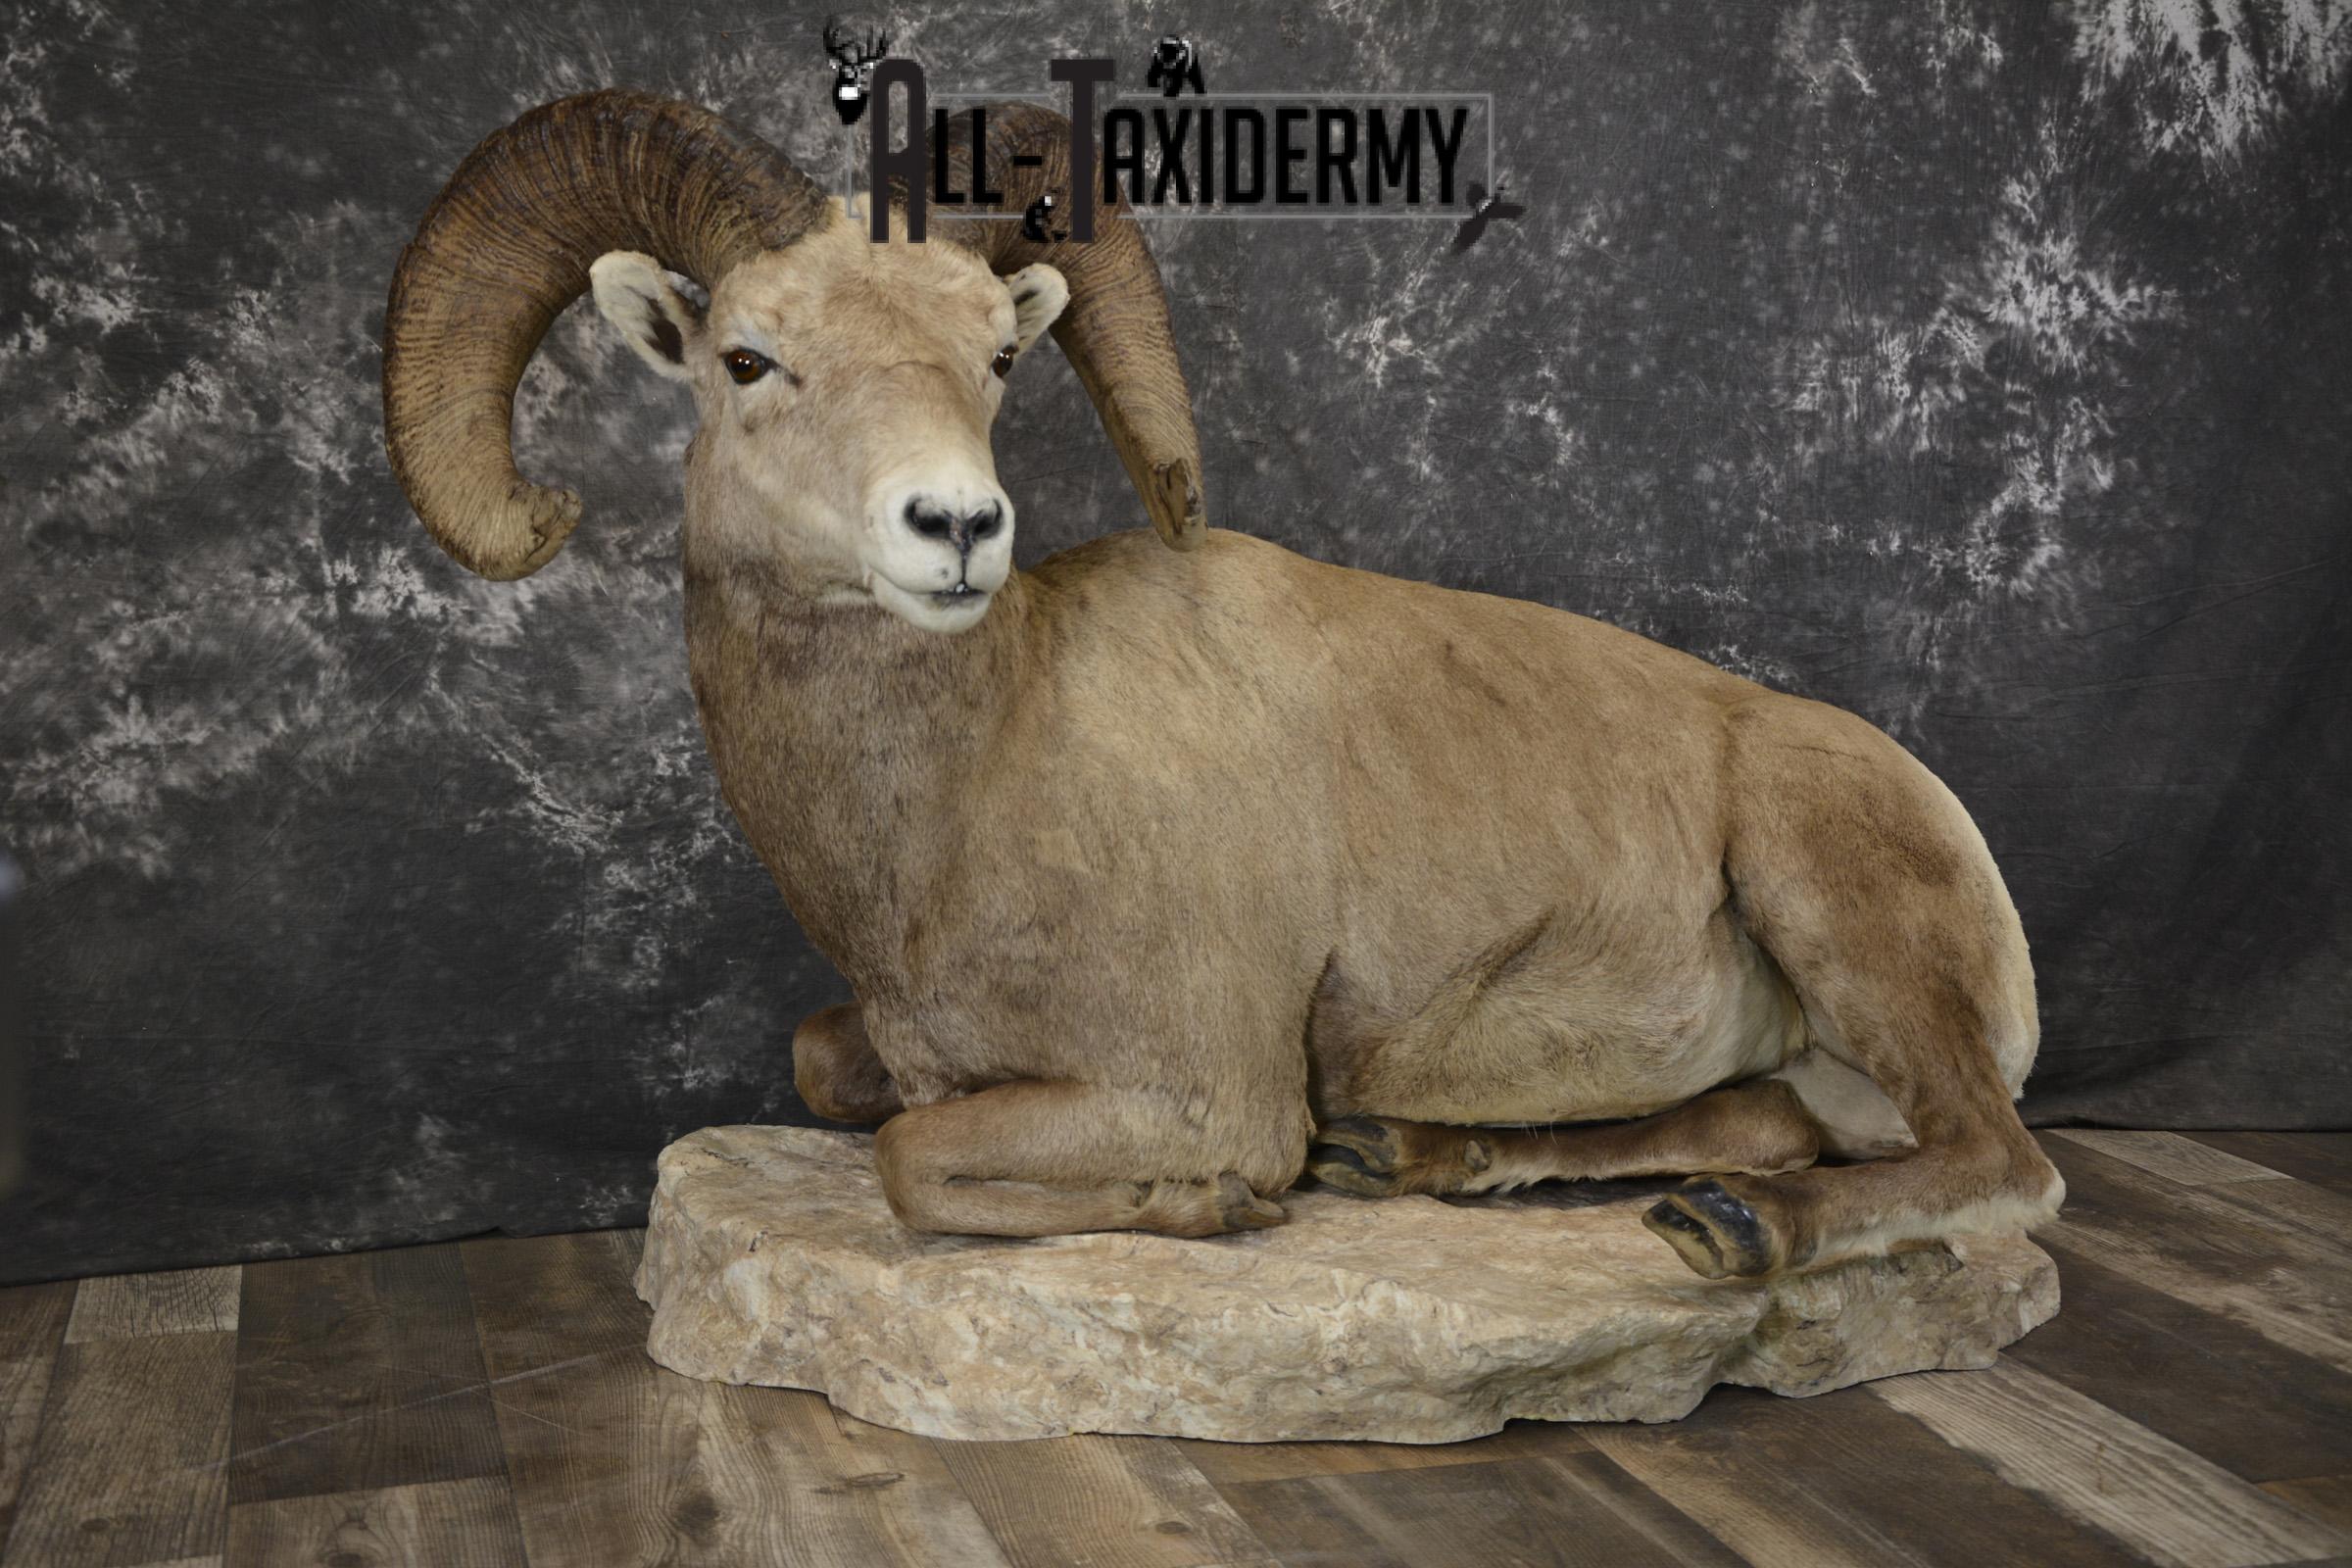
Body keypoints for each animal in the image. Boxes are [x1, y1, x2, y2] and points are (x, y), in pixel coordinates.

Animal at [382, 91, 2063, 1278]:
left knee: (2000, 1165)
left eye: (997, 357)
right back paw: (1417, 1160)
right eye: (745, 359)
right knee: (1772, 1122)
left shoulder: (1189, 1081)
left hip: (1835, 902)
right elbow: (837, 1082)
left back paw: (1735, 1234)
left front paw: (1210, 1205)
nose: (956, 529)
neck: (964, 800)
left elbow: (916, 1161)